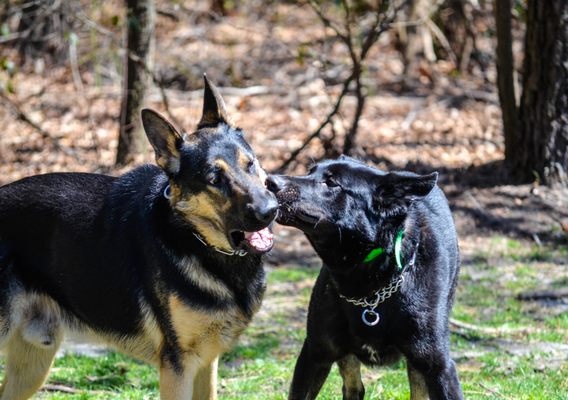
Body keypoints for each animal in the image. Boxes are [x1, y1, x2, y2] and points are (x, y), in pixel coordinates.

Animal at [268, 157, 462, 400]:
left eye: (331, 183)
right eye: (309, 171)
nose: (269, 181)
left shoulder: (438, 366)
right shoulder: (314, 353)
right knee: (354, 387)